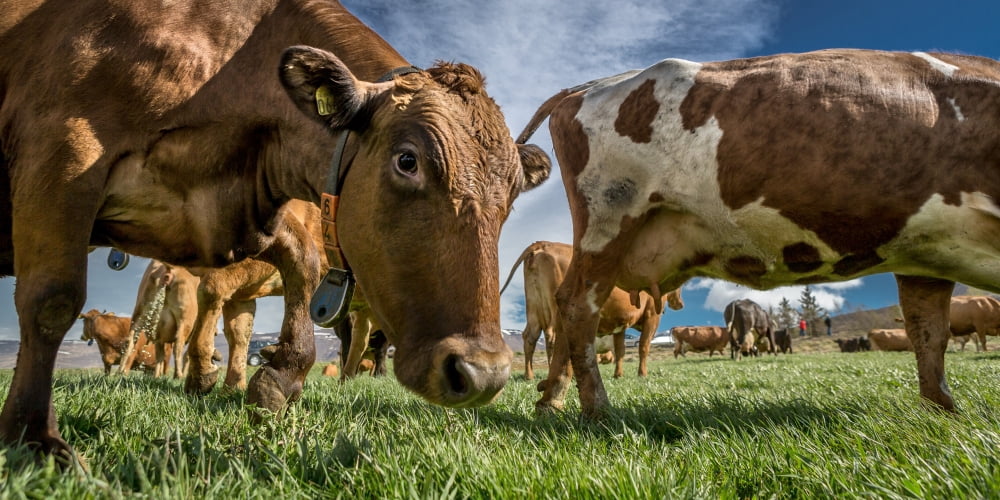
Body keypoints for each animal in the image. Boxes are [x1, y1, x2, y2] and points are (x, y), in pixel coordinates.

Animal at [0, 0, 551, 457]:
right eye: (407, 160)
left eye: (510, 197)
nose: (482, 374)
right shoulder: (62, 151)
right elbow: (51, 301)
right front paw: (33, 436)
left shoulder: (245, 214)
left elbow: (301, 267)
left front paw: (277, 377)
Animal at [499, 241, 683, 380]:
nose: (680, 304)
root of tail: (544, 244)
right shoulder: (652, 315)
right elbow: (644, 346)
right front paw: (642, 374)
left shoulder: (620, 323)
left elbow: (620, 350)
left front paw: (618, 375)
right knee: (551, 336)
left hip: (534, 308)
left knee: (530, 337)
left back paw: (529, 376)